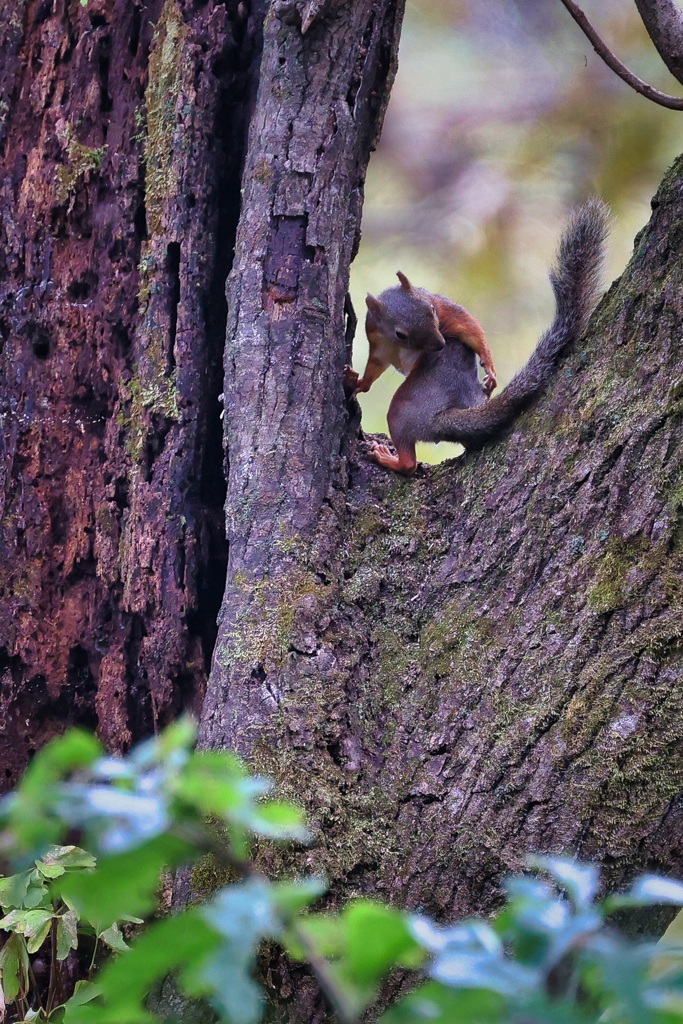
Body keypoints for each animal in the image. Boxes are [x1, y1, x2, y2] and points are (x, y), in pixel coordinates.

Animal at [348, 197, 610, 473]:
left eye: (432, 310)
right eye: (400, 334)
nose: (440, 345)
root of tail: (443, 417)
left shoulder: (445, 310)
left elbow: (468, 326)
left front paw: (489, 366)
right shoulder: (378, 341)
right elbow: (376, 366)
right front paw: (359, 383)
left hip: (404, 409)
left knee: (409, 462)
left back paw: (387, 458)